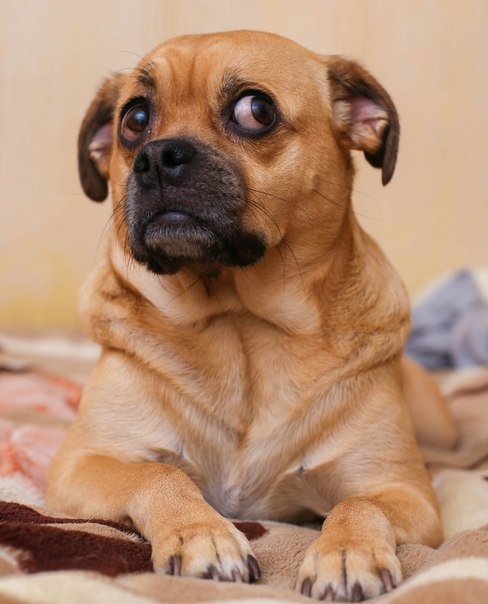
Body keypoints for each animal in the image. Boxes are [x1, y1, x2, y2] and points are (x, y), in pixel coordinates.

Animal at [47, 31, 457, 601]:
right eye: (134, 119)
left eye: (255, 110)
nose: (157, 156)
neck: (240, 322)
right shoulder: (82, 465)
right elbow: (158, 475)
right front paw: (202, 534)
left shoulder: (402, 490)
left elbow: (358, 503)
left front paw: (346, 551)